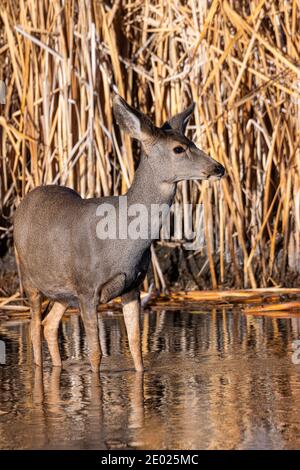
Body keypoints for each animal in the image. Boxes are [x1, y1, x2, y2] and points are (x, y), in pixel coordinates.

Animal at [14, 95, 225, 372]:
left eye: (193, 142)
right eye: (179, 148)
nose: (219, 168)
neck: (122, 241)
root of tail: (23, 203)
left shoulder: (132, 287)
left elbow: (136, 348)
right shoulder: (87, 288)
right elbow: (95, 354)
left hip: (62, 291)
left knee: (49, 326)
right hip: (30, 280)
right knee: (34, 329)